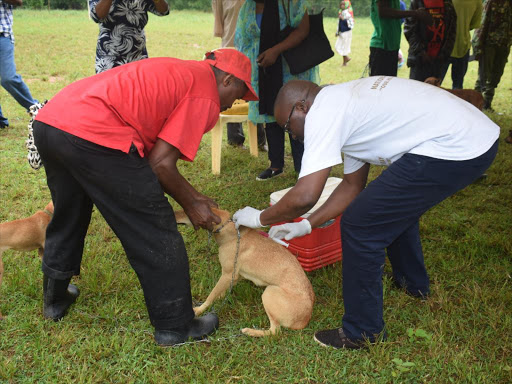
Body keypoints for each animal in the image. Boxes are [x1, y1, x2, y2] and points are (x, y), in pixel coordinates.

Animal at [174, 208, 314, 338]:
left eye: (186, 211)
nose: (174, 214)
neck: (228, 229)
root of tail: (305, 319)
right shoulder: (235, 276)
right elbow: (219, 292)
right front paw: (220, 297)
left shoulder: (227, 274)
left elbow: (211, 295)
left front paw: (200, 309)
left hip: (269, 292)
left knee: (275, 331)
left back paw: (250, 331)